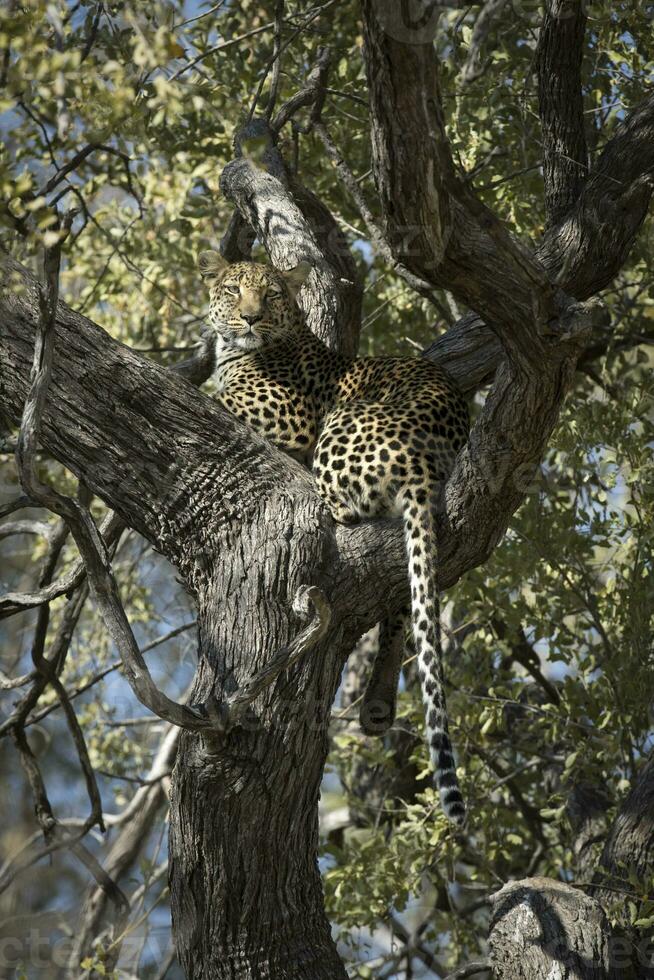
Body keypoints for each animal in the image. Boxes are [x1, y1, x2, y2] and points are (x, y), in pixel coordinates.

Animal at [200, 249, 472, 824]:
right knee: (403, 601)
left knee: (342, 515)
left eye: (272, 294)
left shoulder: (291, 418)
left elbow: (213, 395)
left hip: (337, 426)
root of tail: (423, 462)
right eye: (234, 291)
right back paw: (378, 702)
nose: (252, 318)